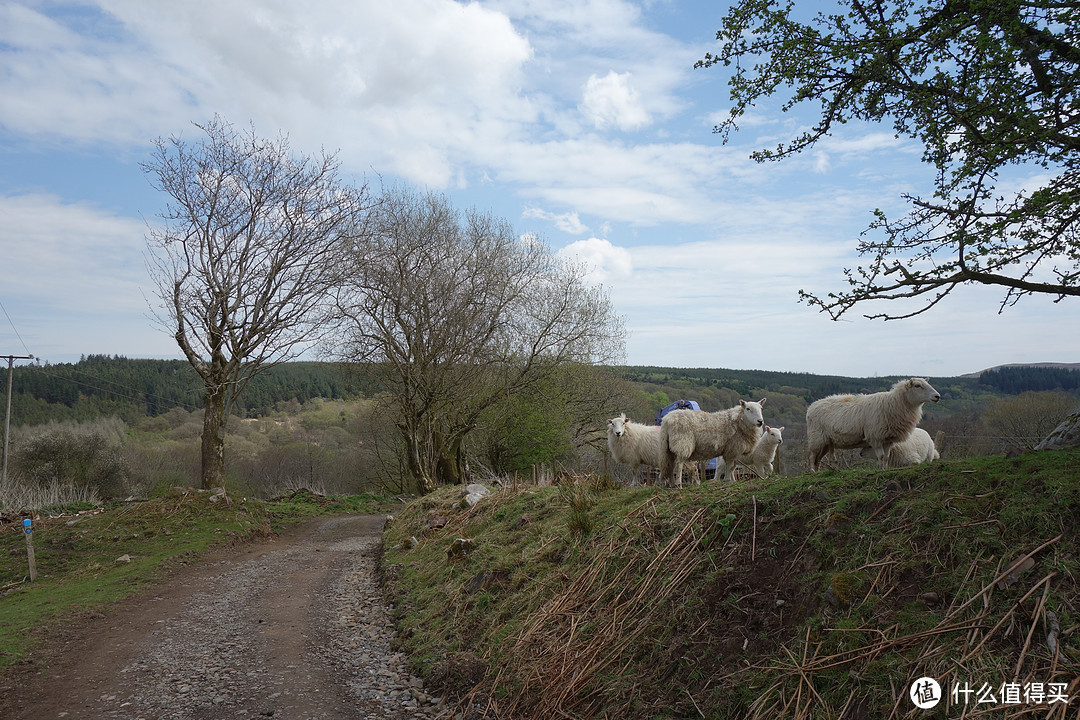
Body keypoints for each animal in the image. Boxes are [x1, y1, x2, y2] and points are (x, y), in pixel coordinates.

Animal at [807, 377, 941, 472]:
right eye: (918, 386)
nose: (937, 396)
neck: (893, 404)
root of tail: (812, 406)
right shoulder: (875, 437)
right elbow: (880, 456)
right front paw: (880, 469)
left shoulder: (888, 439)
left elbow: (886, 457)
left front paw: (885, 469)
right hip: (816, 438)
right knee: (812, 456)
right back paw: (812, 471)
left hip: (826, 441)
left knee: (818, 458)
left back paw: (817, 472)